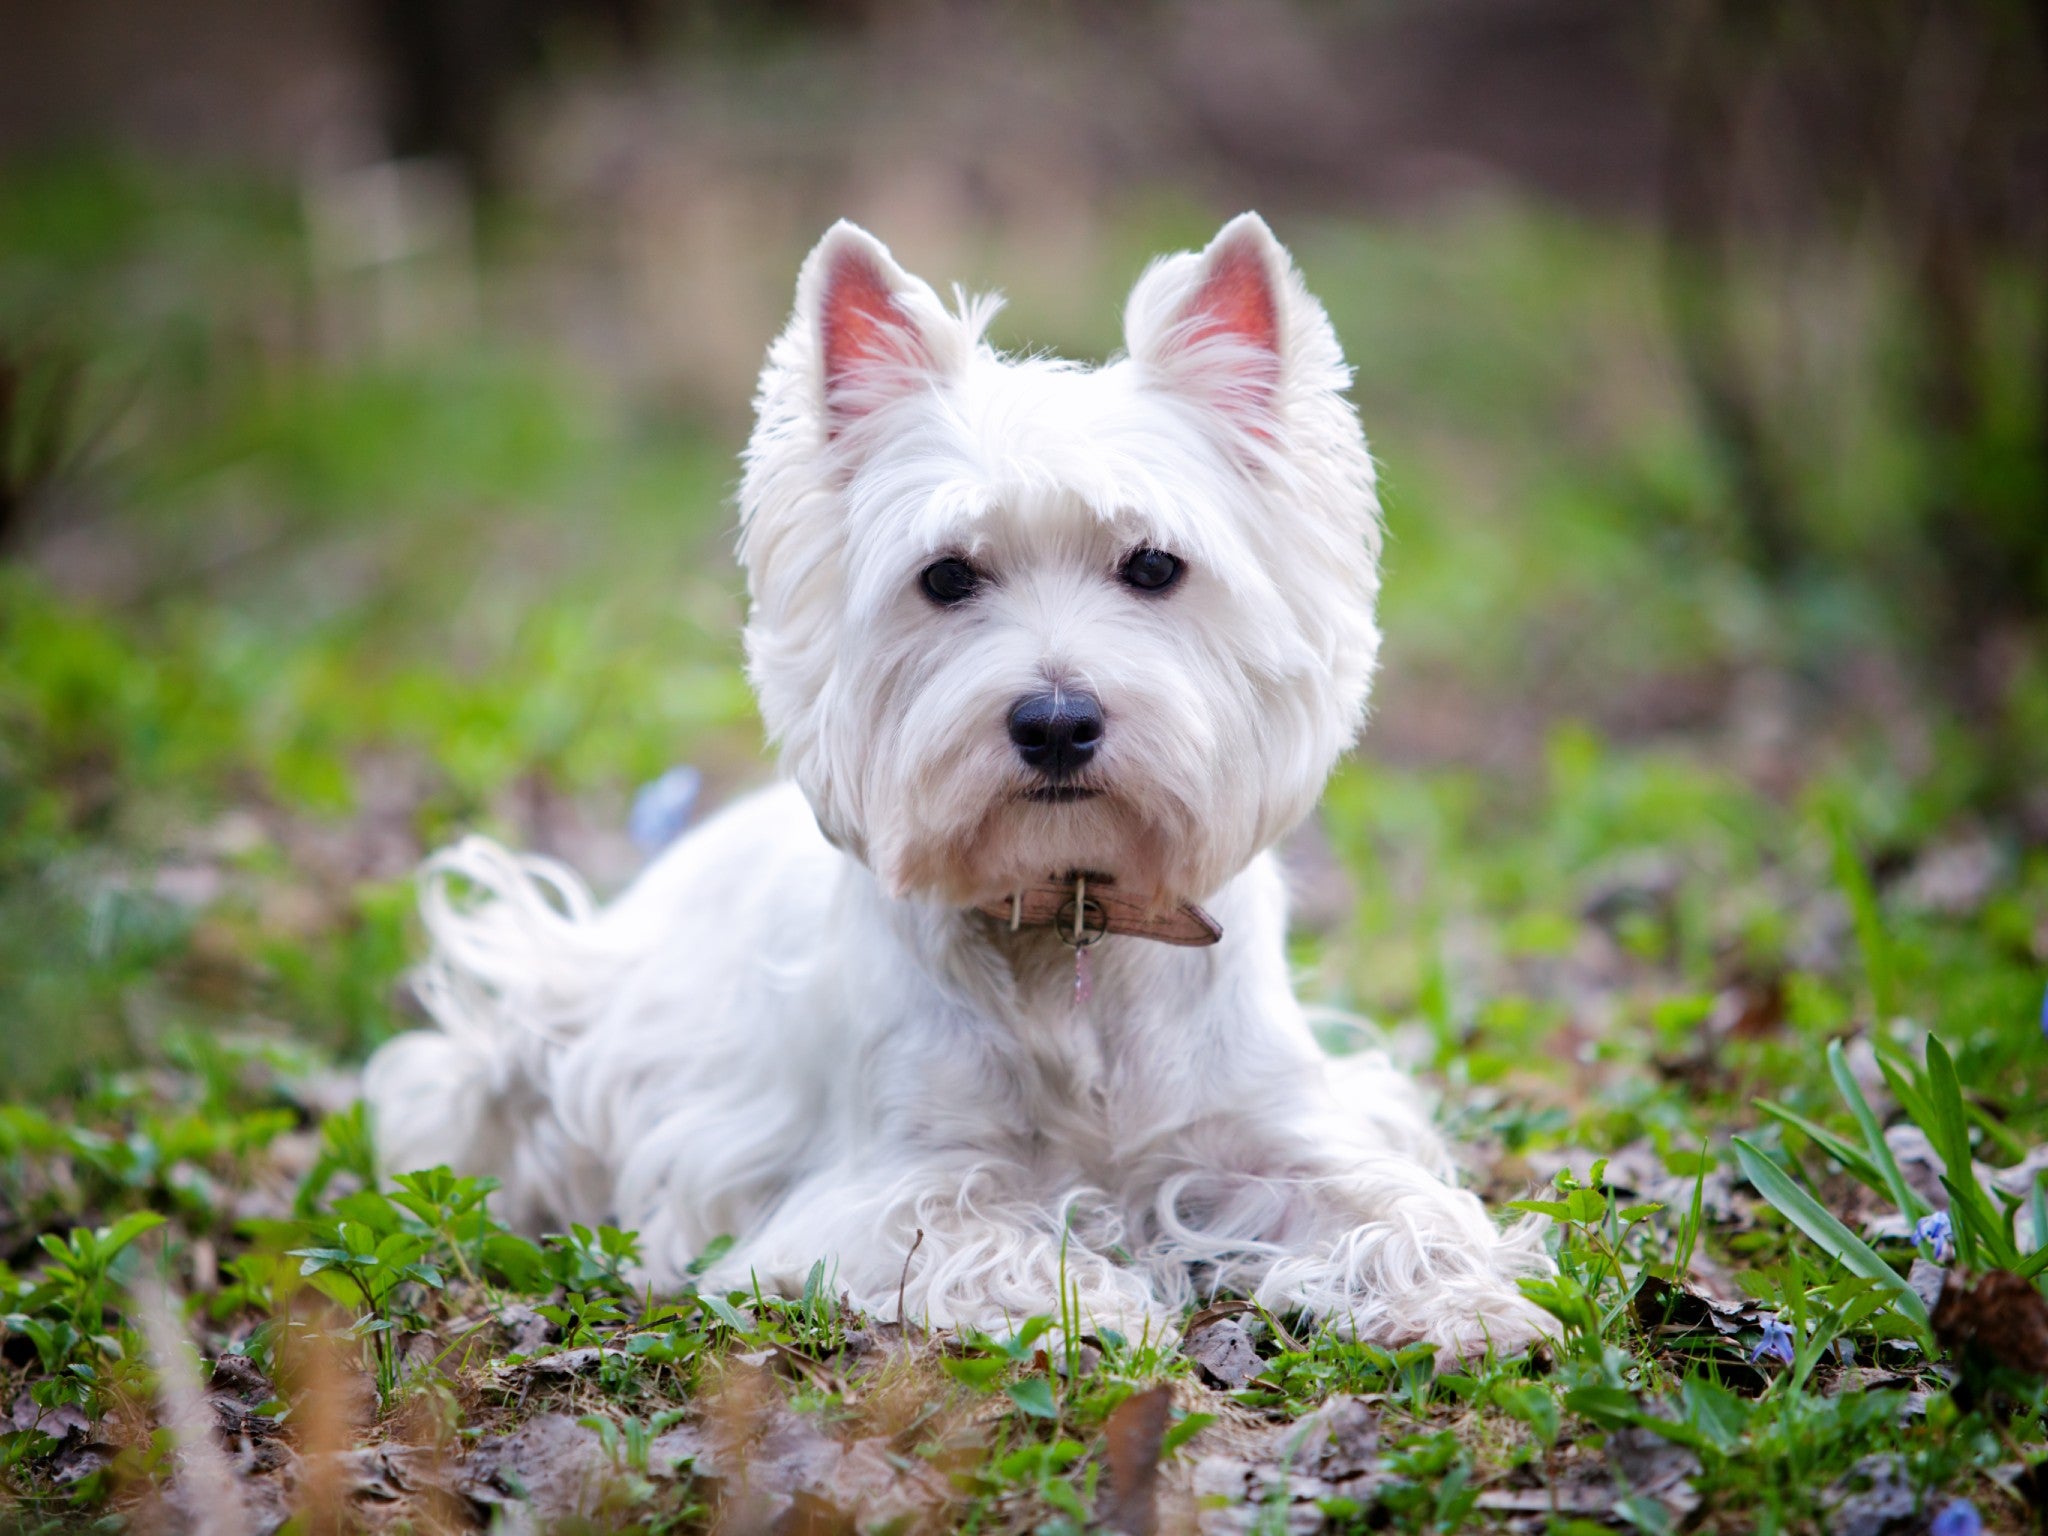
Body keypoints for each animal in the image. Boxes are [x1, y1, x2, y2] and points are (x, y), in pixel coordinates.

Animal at [368, 217, 1548, 1359]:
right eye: (944, 577)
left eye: (1154, 566)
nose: (1056, 722)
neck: (1072, 923)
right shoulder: (882, 1182)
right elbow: (976, 1230)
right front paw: (1100, 1305)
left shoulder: (1273, 1131)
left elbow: (1397, 1203)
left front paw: (1466, 1302)